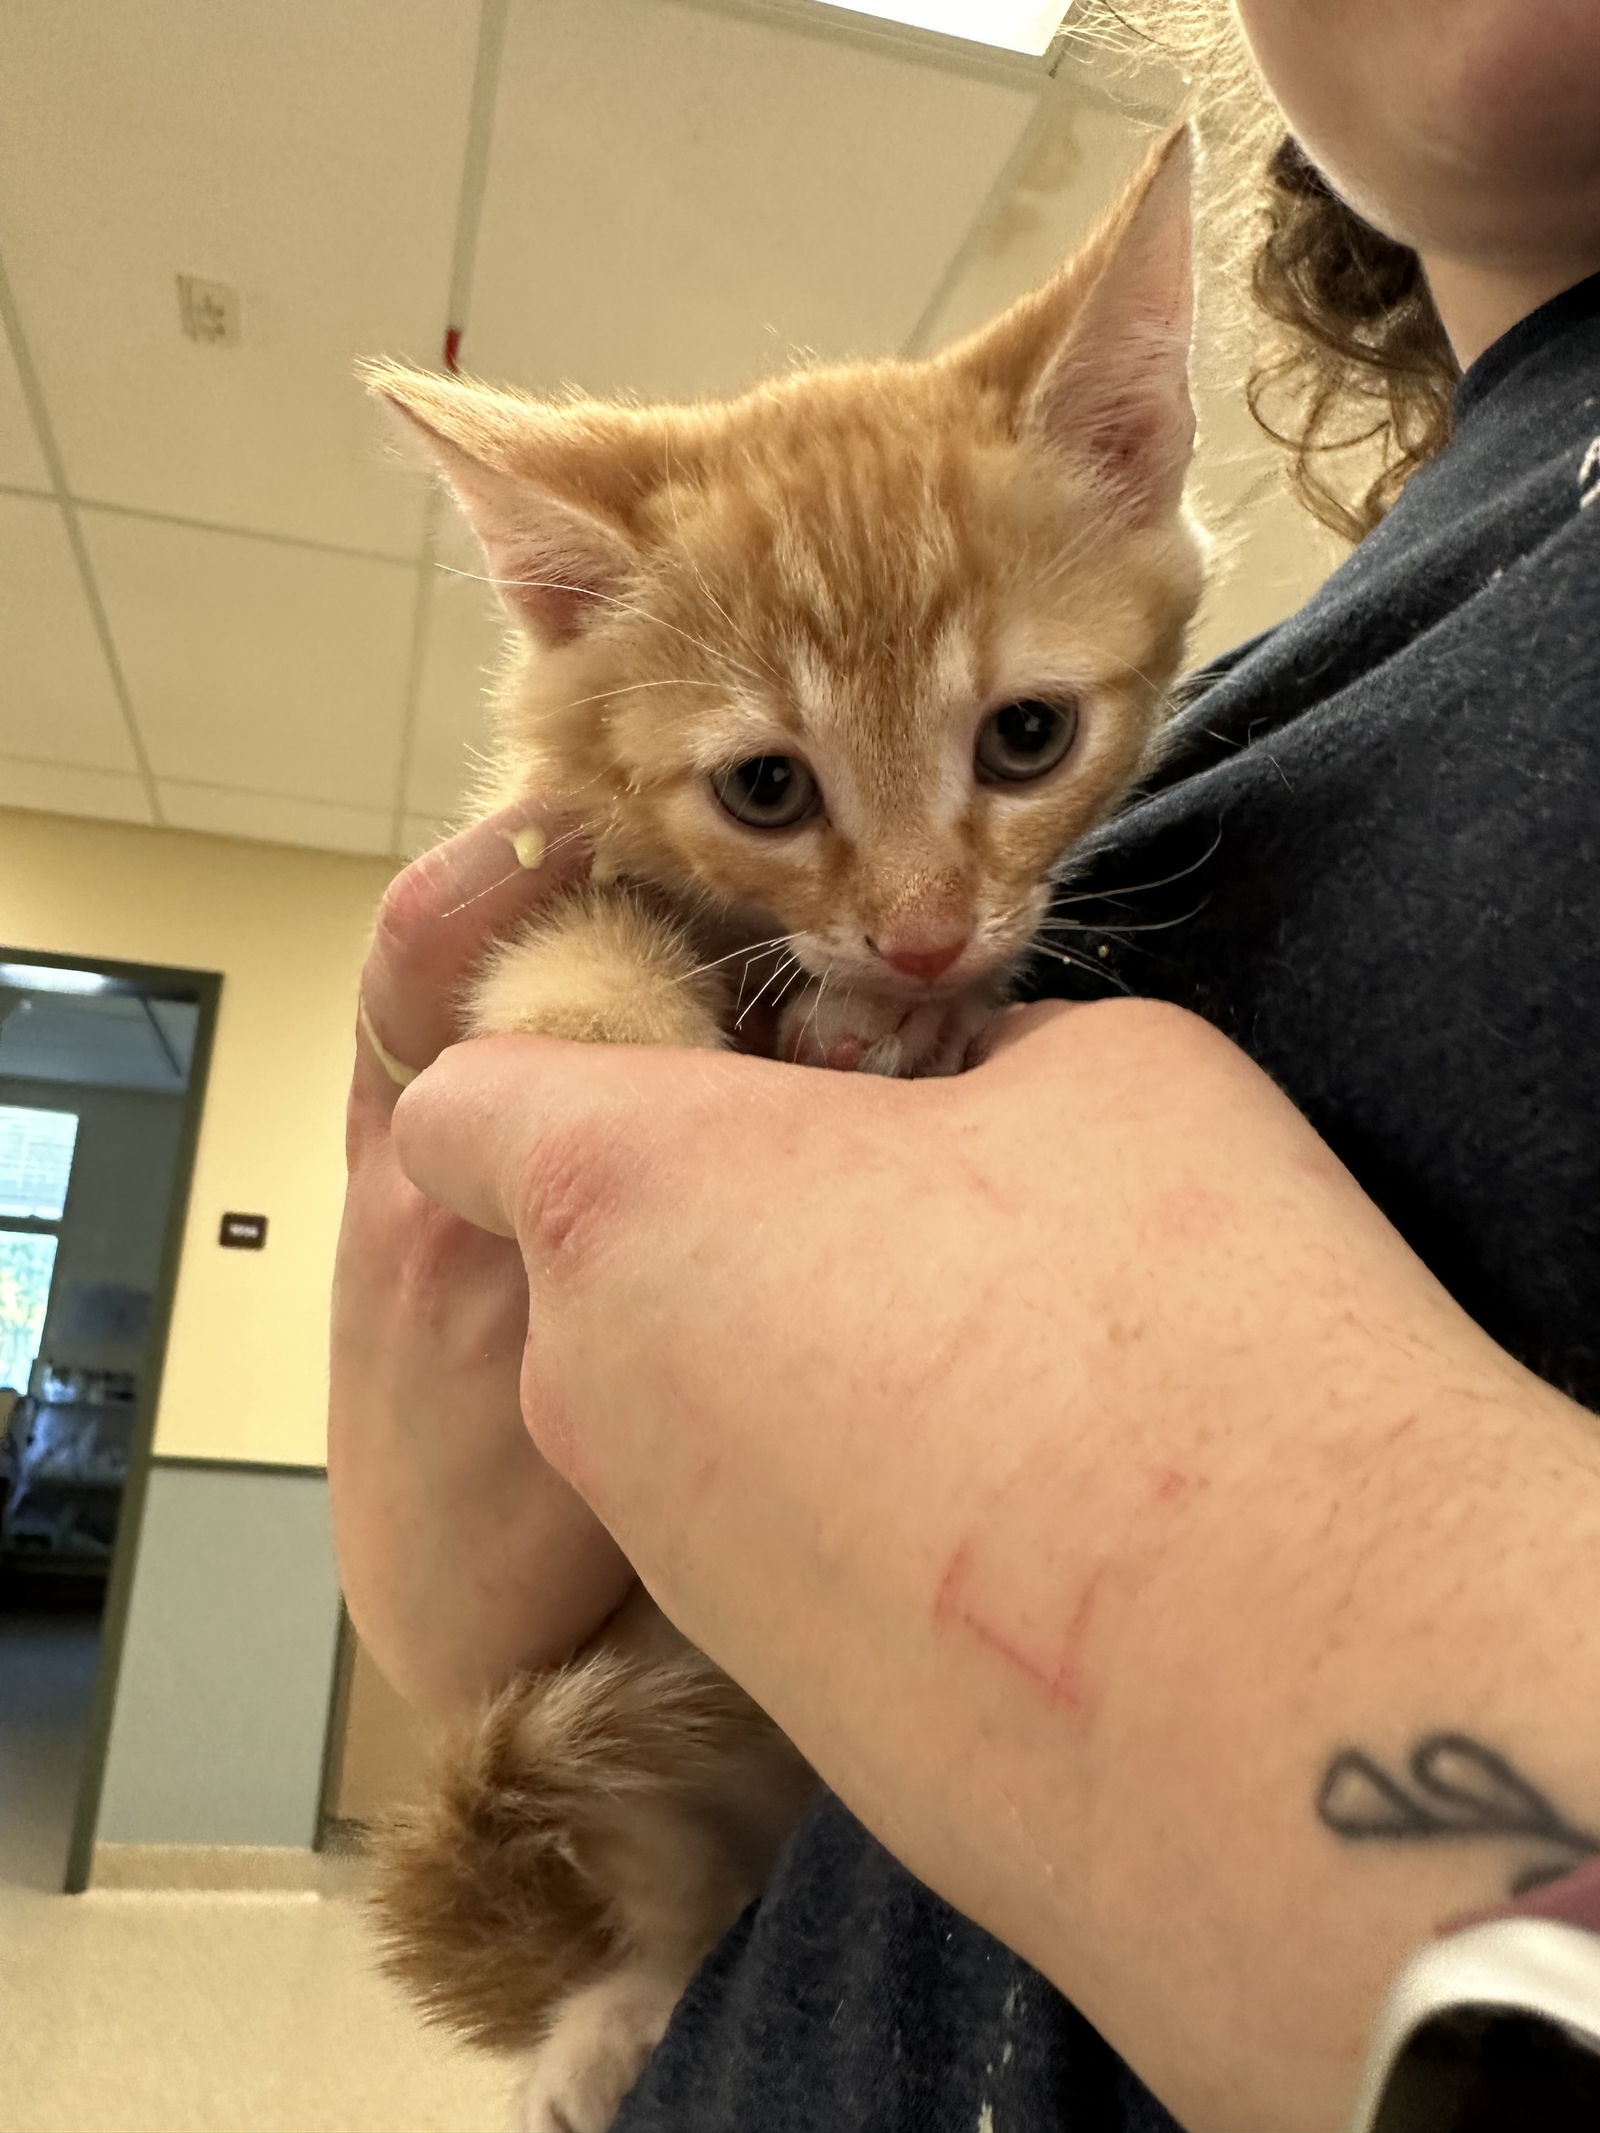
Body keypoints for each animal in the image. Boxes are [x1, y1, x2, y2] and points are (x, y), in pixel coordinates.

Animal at [369, 133, 1211, 2133]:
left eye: (1027, 736)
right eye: (766, 785)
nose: (915, 933)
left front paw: (912, 1018)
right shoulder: (536, 877)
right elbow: (565, 975)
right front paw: (629, 1026)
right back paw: (608, 2014)